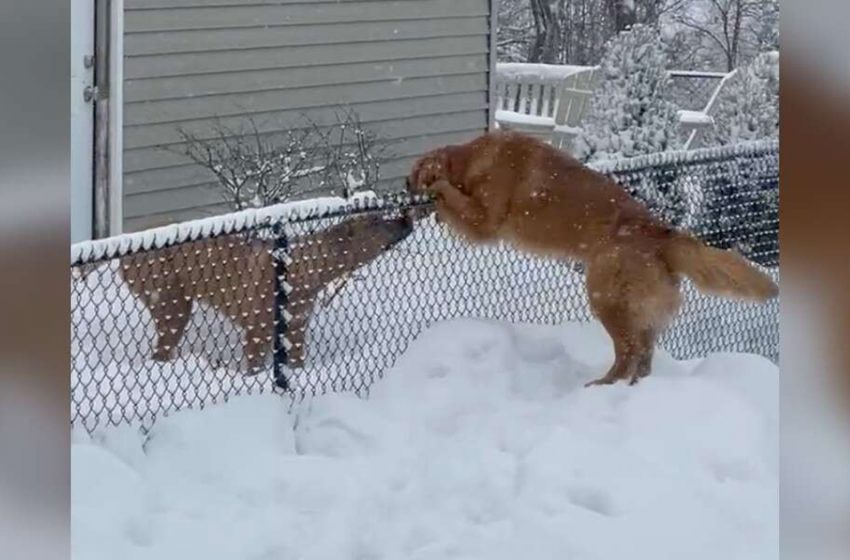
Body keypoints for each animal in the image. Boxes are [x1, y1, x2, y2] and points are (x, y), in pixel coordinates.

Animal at [408, 131, 780, 384]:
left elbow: (454, 197)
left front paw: (438, 192)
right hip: (641, 311)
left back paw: (601, 386)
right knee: (643, 357)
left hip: (606, 297)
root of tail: (662, 235)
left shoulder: (485, 220)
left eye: (413, 175)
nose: (406, 185)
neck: (473, 158)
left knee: (627, 353)